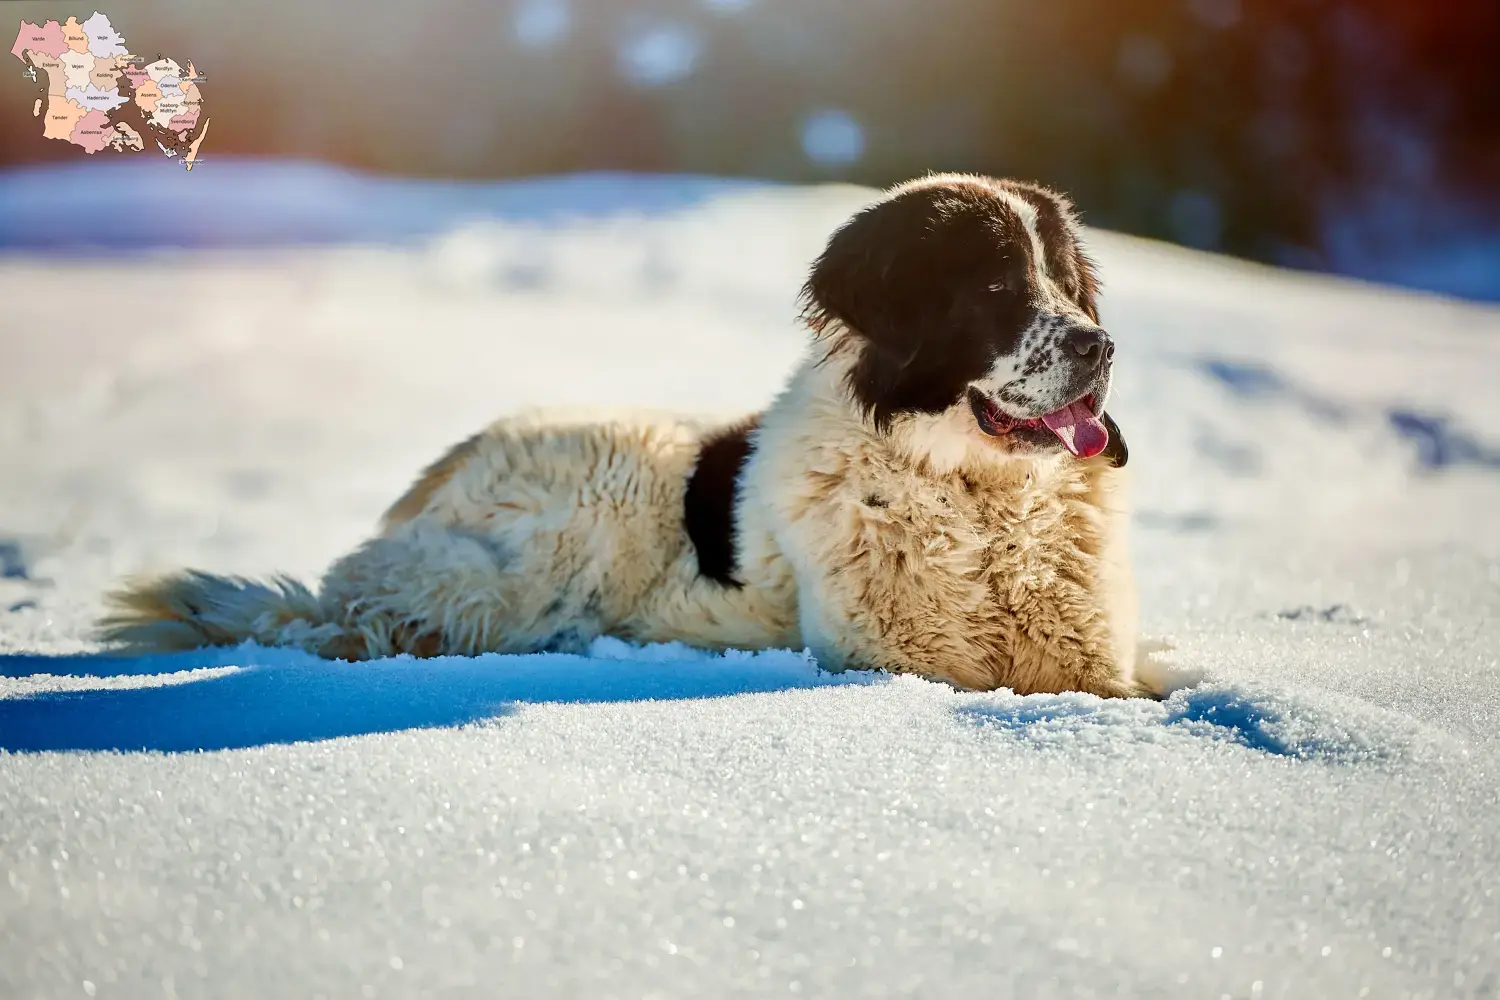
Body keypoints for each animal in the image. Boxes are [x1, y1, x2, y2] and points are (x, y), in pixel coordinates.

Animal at [99, 172, 1152, 701]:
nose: (1100, 346)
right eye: (994, 286)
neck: (976, 494)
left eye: (1068, 282)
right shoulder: (896, 660)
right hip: (565, 534)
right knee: (362, 604)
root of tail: (449, 462)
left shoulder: (1094, 661)